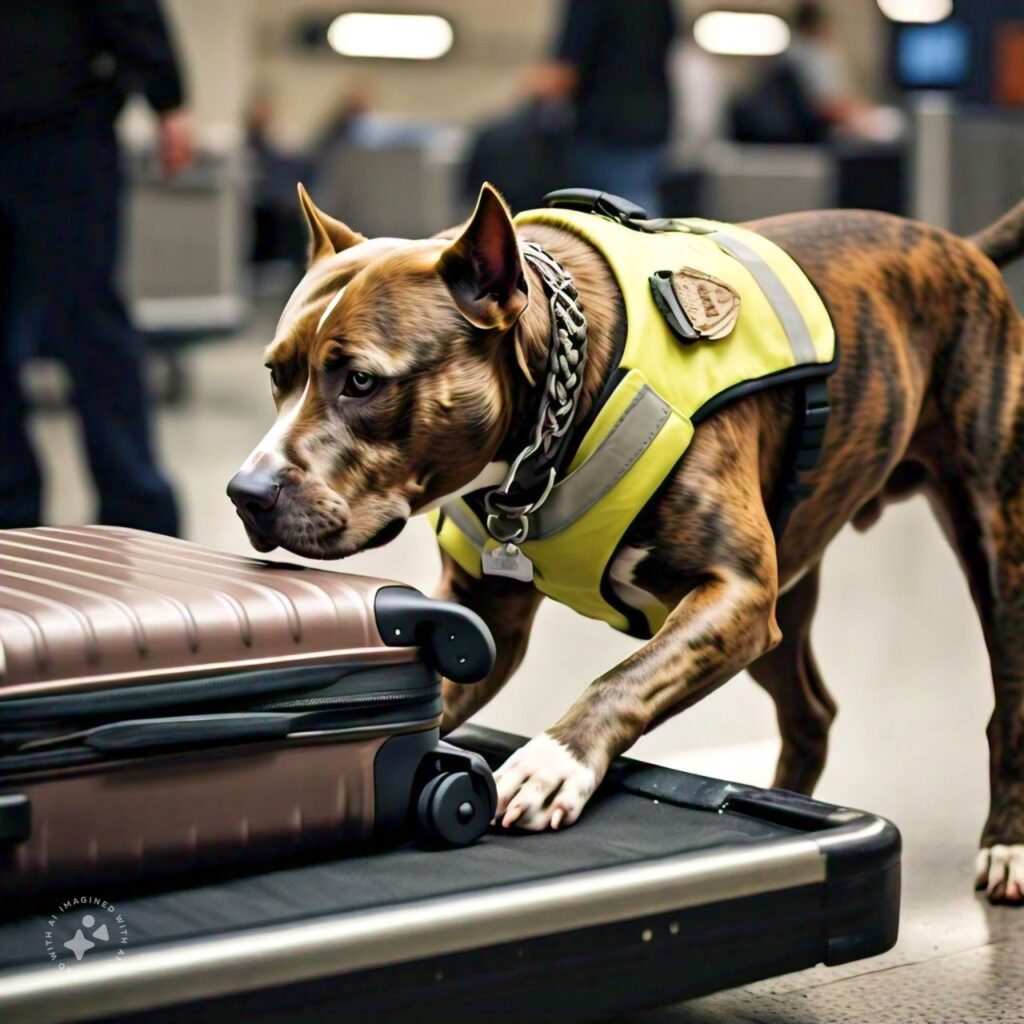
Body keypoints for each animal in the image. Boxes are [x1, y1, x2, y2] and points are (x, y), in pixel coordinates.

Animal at [228, 184, 1024, 905]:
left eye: (362, 381)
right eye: (275, 374)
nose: (247, 492)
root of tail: (960, 250)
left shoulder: (733, 594)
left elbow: (623, 678)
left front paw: (553, 761)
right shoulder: (492, 621)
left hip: (992, 539)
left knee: (1005, 702)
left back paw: (1005, 845)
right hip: (788, 589)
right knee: (810, 714)